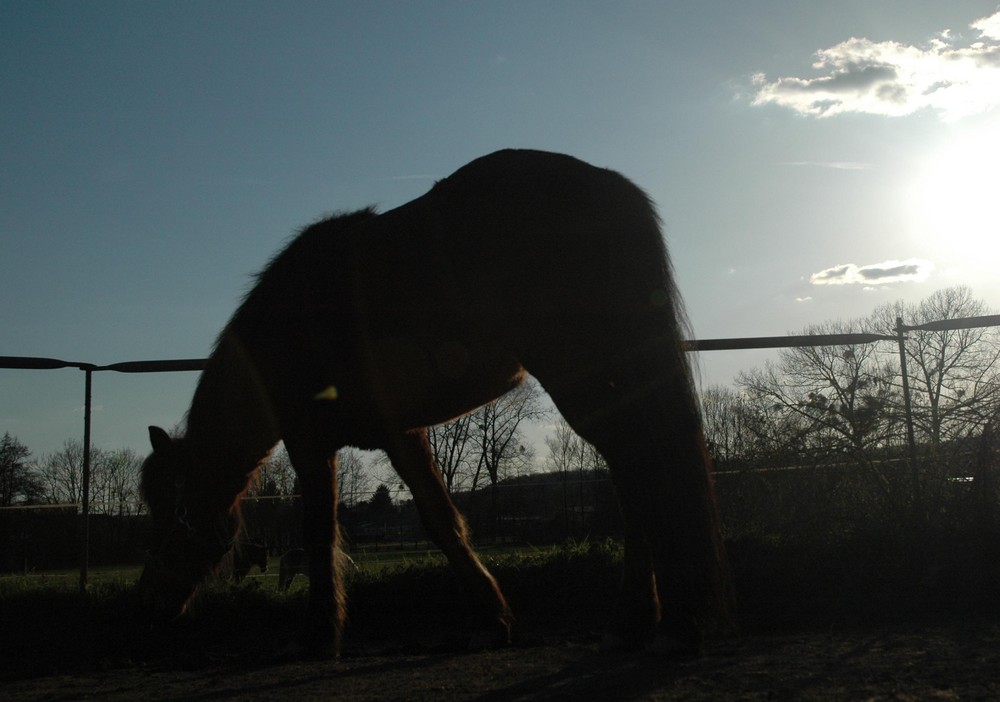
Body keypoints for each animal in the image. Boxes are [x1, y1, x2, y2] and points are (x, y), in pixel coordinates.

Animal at [137, 150, 732, 660]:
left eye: (171, 508)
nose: (149, 607)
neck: (285, 329)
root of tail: (608, 187)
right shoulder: (401, 434)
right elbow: (442, 522)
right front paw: (490, 620)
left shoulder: (309, 442)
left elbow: (319, 531)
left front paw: (317, 636)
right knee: (635, 473)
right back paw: (635, 623)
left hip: (578, 374)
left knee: (641, 464)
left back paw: (669, 624)